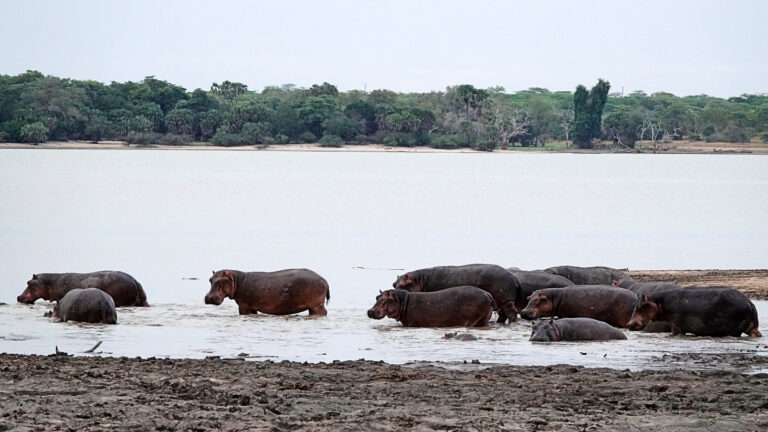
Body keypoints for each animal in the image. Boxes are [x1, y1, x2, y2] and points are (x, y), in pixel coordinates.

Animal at [390, 264, 520, 322]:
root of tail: (514, 277)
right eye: (393, 284)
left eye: (402, 285)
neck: (419, 280)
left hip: (506, 300)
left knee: (512, 313)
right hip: (502, 301)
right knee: (503, 314)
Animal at [632, 286, 760, 338]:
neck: (659, 301)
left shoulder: (676, 325)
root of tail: (750, 303)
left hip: (734, 330)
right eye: (635, 305)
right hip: (751, 327)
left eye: (639, 306)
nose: (629, 323)